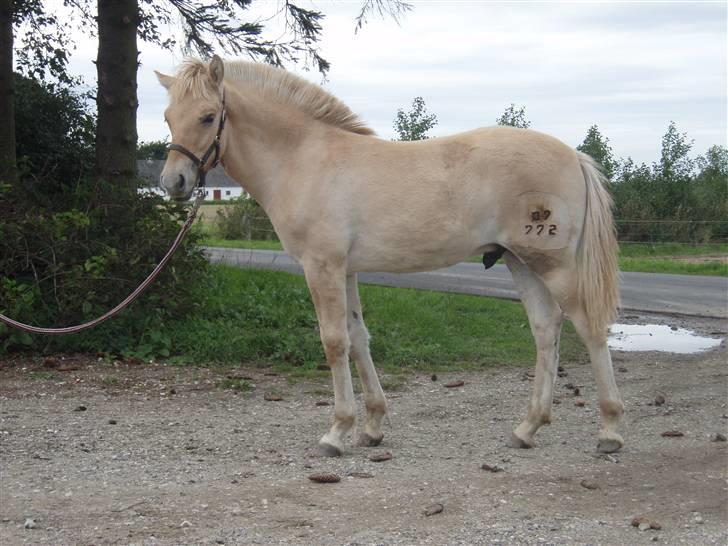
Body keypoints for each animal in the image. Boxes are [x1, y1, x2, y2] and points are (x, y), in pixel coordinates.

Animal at [156, 55, 624, 454]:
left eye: (208, 116)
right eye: (167, 117)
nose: (174, 183)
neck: (304, 158)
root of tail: (574, 156)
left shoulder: (322, 267)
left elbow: (334, 342)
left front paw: (337, 431)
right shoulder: (345, 271)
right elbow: (358, 338)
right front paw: (372, 426)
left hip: (555, 265)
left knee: (590, 327)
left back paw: (609, 429)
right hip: (520, 260)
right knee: (546, 329)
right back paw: (527, 428)